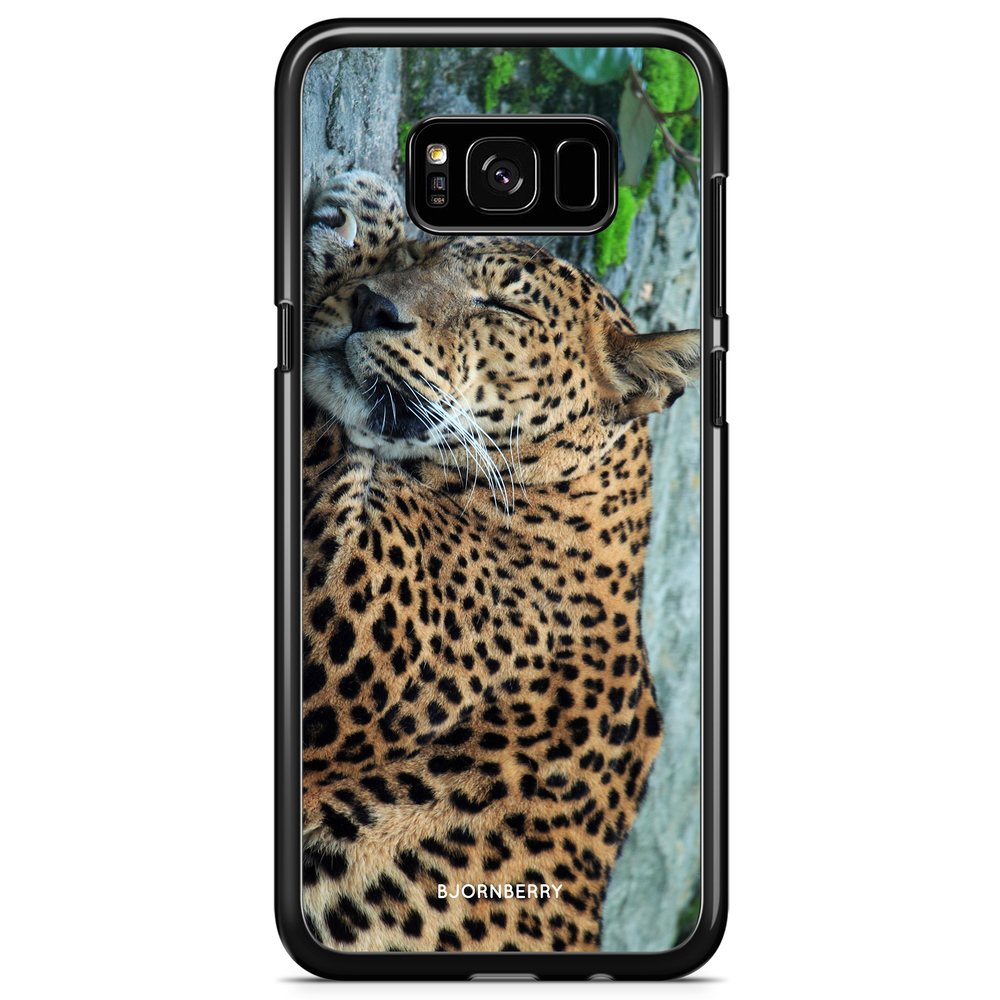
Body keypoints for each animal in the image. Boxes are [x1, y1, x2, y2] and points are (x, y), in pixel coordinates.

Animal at [299, 170, 700, 953]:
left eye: (503, 306)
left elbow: (318, 433)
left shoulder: (348, 610)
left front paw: (357, 222)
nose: (372, 305)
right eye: (426, 255)